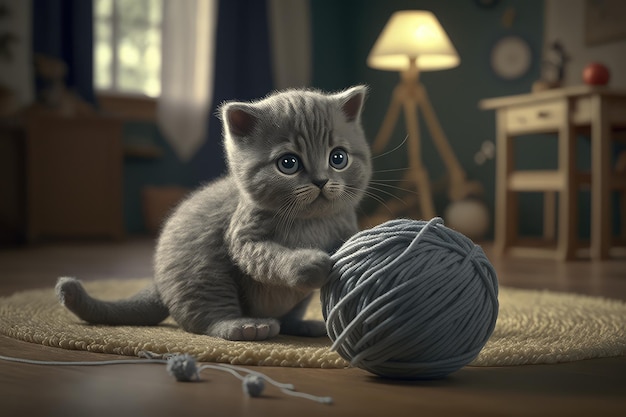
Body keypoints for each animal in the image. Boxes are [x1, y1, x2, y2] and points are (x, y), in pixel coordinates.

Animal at [54, 85, 370, 342]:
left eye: (338, 158)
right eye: (288, 163)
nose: (321, 181)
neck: (311, 221)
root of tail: (159, 284)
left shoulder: (344, 224)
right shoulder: (242, 237)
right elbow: (270, 258)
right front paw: (310, 263)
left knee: (287, 316)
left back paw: (304, 326)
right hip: (205, 270)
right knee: (209, 318)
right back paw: (245, 326)